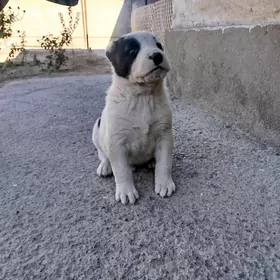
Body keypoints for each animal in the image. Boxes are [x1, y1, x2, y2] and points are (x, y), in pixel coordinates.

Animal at [92, 30, 175, 205]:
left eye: (159, 45)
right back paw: (105, 166)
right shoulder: (116, 142)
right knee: (103, 154)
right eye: (132, 50)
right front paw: (126, 191)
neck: (142, 96)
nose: (157, 55)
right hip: (97, 129)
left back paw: (151, 161)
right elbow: (121, 170)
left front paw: (164, 183)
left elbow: (164, 164)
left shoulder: (164, 135)